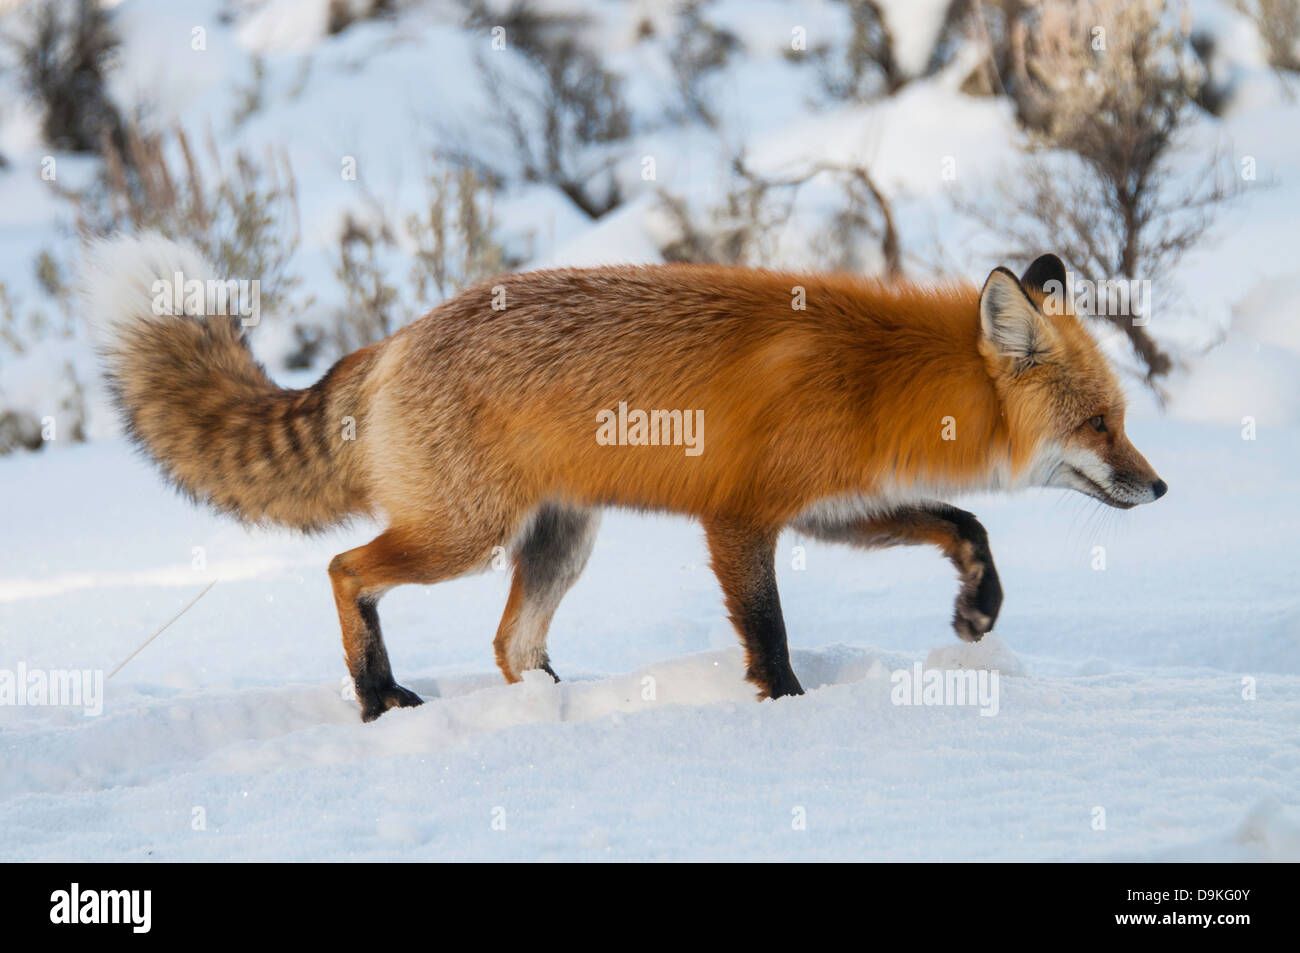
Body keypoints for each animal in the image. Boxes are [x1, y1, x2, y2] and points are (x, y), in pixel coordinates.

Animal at [85, 236, 1166, 721]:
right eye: (1099, 423)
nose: (1158, 490)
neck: (880, 377)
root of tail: (392, 341)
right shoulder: (740, 520)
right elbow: (770, 633)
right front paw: (787, 710)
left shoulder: (833, 509)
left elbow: (965, 522)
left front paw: (978, 609)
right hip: (461, 536)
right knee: (348, 569)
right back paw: (379, 693)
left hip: (559, 541)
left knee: (511, 643)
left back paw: (557, 713)